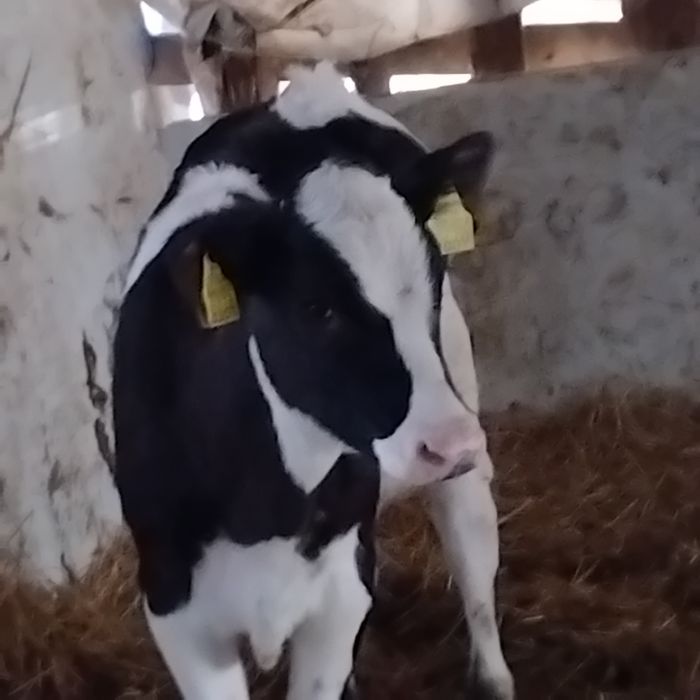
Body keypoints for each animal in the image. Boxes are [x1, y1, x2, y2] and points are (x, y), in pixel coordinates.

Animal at [113, 62, 513, 700]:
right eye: (316, 307)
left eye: (434, 277)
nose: (450, 442)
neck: (266, 509)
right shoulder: (176, 608)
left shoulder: (342, 593)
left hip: (461, 429)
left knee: (473, 558)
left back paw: (495, 677)